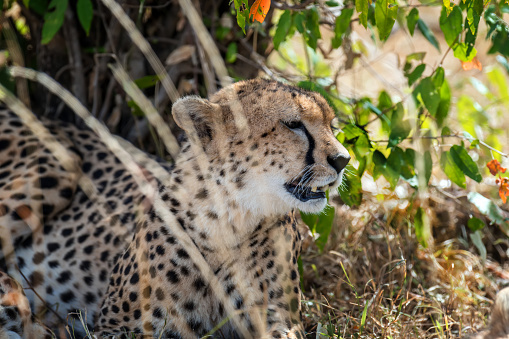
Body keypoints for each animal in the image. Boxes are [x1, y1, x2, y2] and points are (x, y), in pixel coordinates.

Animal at [0, 79, 350, 338]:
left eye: (332, 125)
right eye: (293, 125)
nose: (343, 160)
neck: (230, 219)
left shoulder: (278, 318)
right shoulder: (116, 326)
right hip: (60, 162)